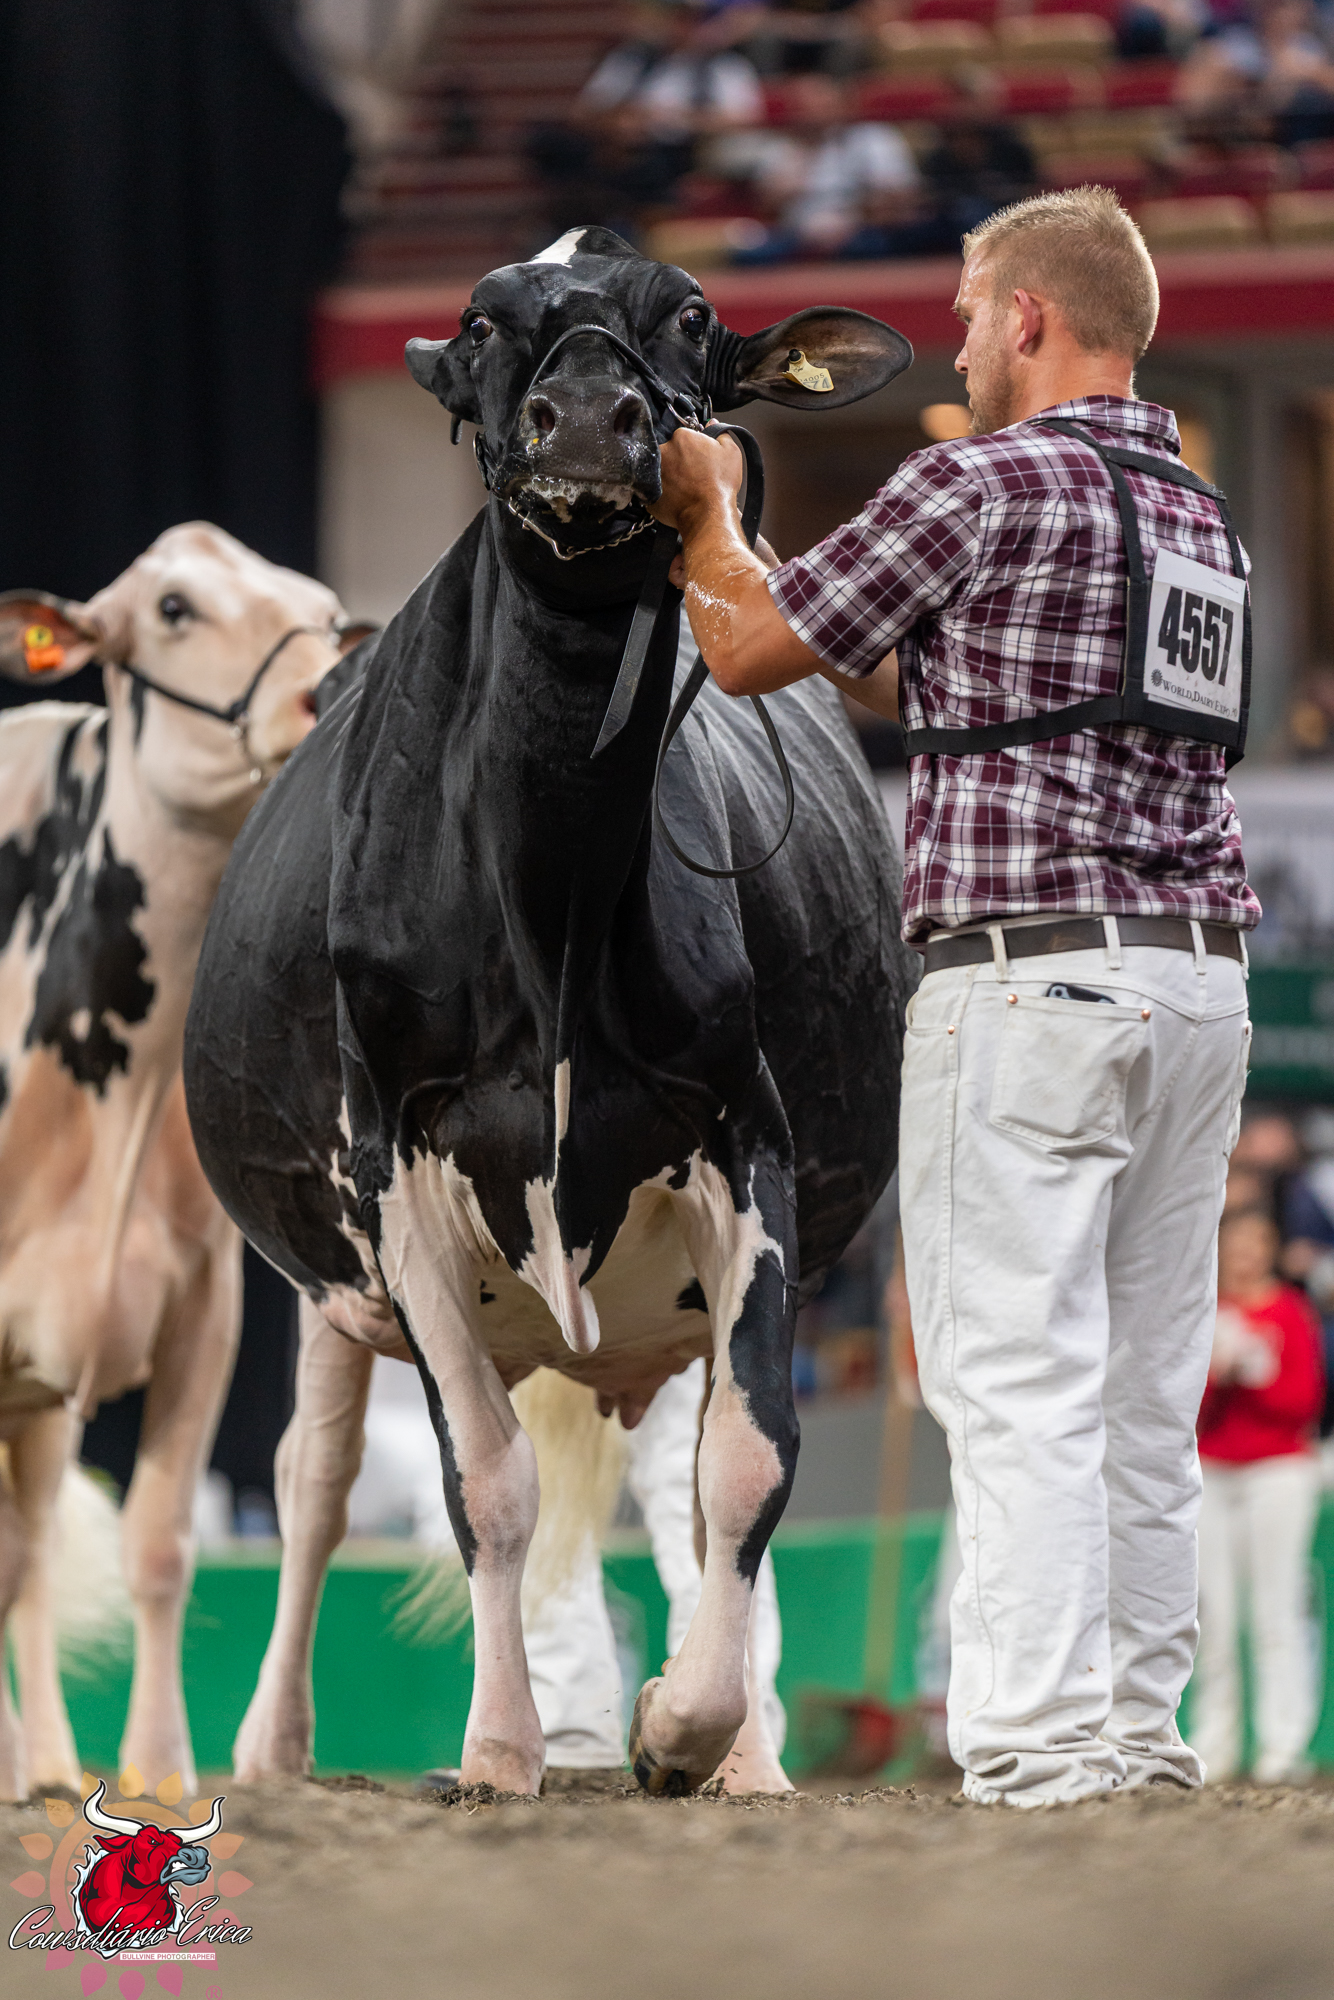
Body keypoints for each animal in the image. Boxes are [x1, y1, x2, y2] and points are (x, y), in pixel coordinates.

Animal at [0, 526, 366, 1803]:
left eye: (323, 607)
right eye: (171, 606)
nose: (322, 691)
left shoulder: (203, 1308)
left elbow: (158, 1542)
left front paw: (157, 1768)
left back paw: (50, 1759)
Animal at [184, 226, 918, 1798]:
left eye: (689, 317)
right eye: (479, 320)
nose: (585, 415)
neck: (554, 905)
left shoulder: (743, 1140)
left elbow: (749, 1465)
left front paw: (684, 1730)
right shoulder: (393, 1164)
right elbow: (483, 1487)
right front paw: (499, 1749)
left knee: (684, 1483)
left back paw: (748, 1755)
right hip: (331, 1291)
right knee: (312, 1482)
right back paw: (270, 1748)